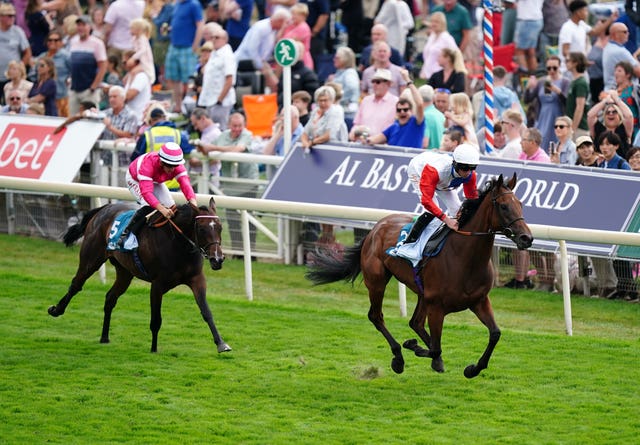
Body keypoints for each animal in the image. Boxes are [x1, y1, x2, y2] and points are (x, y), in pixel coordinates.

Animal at [48, 198, 231, 354]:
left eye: (220, 228)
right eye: (201, 228)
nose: (217, 259)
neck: (178, 244)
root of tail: (104, 209)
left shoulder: (196, 279)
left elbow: (206, 312)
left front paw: (221, 344)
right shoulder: (157, 284)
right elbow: (156, 320)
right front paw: (154, 349)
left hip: (125, 272)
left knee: (110, 297)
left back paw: (104, 337)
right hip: (91, 259)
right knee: (76, 284)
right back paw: (56, 310)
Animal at [308, 175, 532, 376]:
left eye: (520, 204)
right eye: (503, 206)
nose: (526, 238)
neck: (465, 258)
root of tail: (375, 228)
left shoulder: (479, 300)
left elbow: (495, 333)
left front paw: (473, 369)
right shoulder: (437, 307)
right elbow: (435, 347)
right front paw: (412, 346)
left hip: (422, 293)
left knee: (414, 322)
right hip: (377, 281)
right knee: (377, 316)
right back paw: (399, 357)